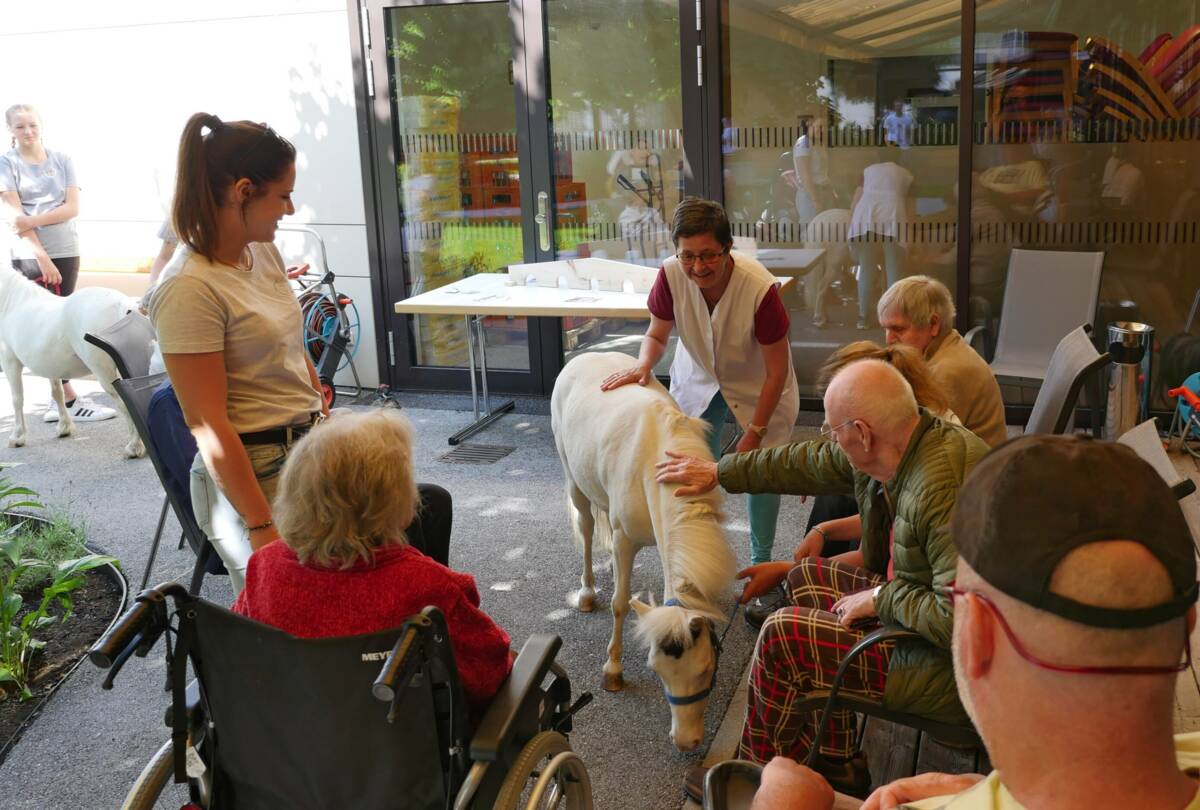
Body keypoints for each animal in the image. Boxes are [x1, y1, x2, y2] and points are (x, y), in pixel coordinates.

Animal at [0, 266, 144, 456]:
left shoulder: (10, 361)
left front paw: (18, 437)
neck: (10, 303)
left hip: (104, 373)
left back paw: (134, 446)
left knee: (126, 403)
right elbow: (57, 393)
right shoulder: (51, 366)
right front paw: (64, 427)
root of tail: (122, 304)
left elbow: (17, 399)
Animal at [549, 352, 734, 753]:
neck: (656, 456)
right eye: (657, 670)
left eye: (706, 669)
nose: (686, 741)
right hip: (573, 481)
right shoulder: (623, 539)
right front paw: (613, 671)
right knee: (587, 527)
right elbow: (620, 603)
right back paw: (586, 591)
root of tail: (582, 356)